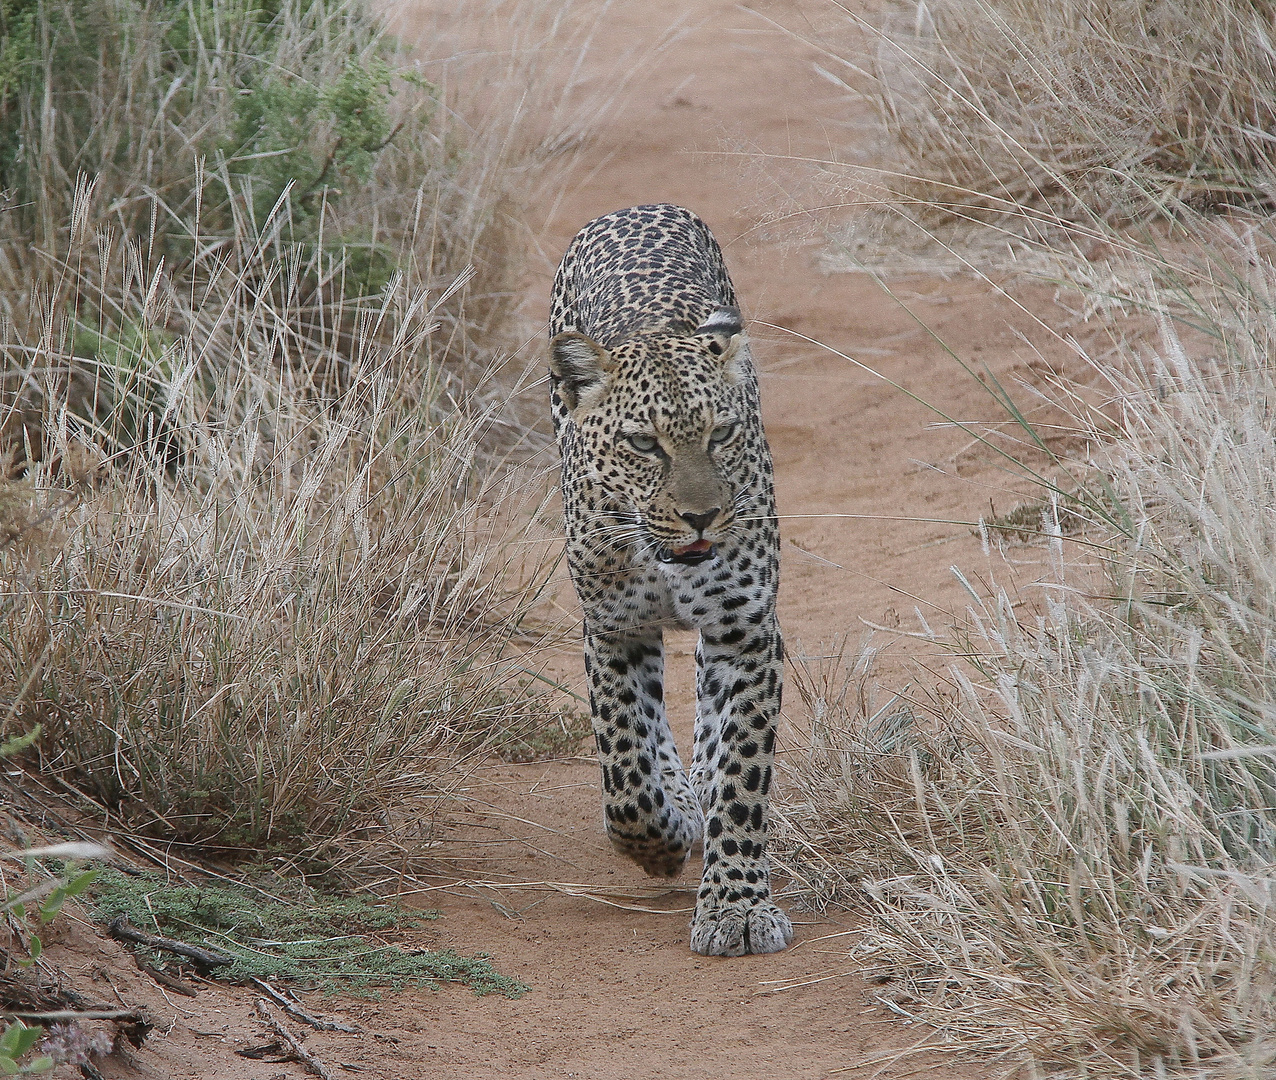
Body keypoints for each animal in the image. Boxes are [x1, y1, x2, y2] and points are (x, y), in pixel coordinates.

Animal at [553, 202, 791, 954]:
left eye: (720, 435)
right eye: (642, 444)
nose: (701, 516)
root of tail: (635, 208)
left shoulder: (744, 631)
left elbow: (742, 772)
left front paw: (736, 906)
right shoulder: (614, 631)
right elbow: (625, 764)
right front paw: (658, 840)